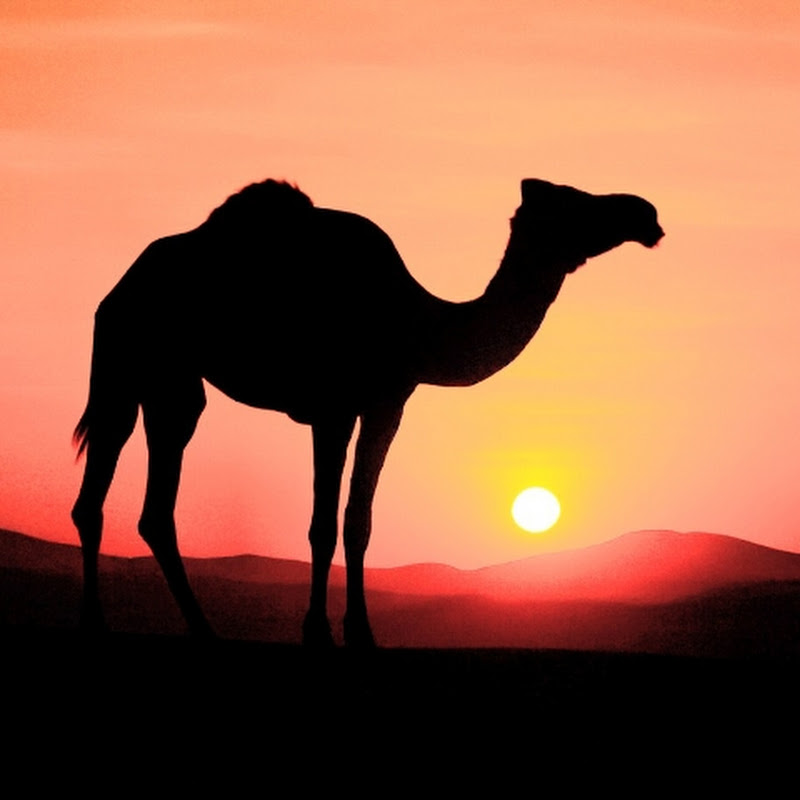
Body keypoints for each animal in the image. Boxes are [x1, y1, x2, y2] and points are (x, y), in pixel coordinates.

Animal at [72, 177, 663, 646]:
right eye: (574, 201)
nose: (646, 212)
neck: (420, 325)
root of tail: (120, 287)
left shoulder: (386, 406)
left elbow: (359, 521)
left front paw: (360, 631)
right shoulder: (332, 410)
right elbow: (322, 524)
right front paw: (317, 631)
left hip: (157, 378)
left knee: (123, 499)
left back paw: (148, 626)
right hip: (140, 359)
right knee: (132, 484)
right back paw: (148, 627)